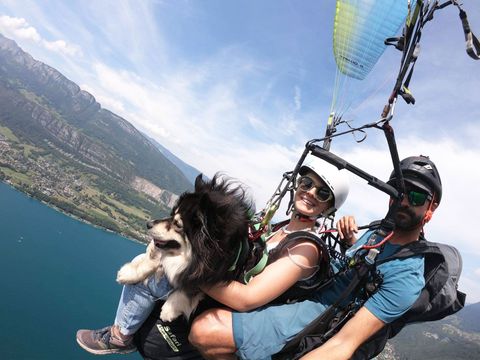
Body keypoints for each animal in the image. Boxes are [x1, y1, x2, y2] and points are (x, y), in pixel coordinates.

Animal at [116, 174, 251, 320]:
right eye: (171, 214)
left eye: (178, 224)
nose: (148, 224)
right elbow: (155, 257)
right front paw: (130, 272)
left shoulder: (209, 273)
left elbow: (190, 285)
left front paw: (169, 309)